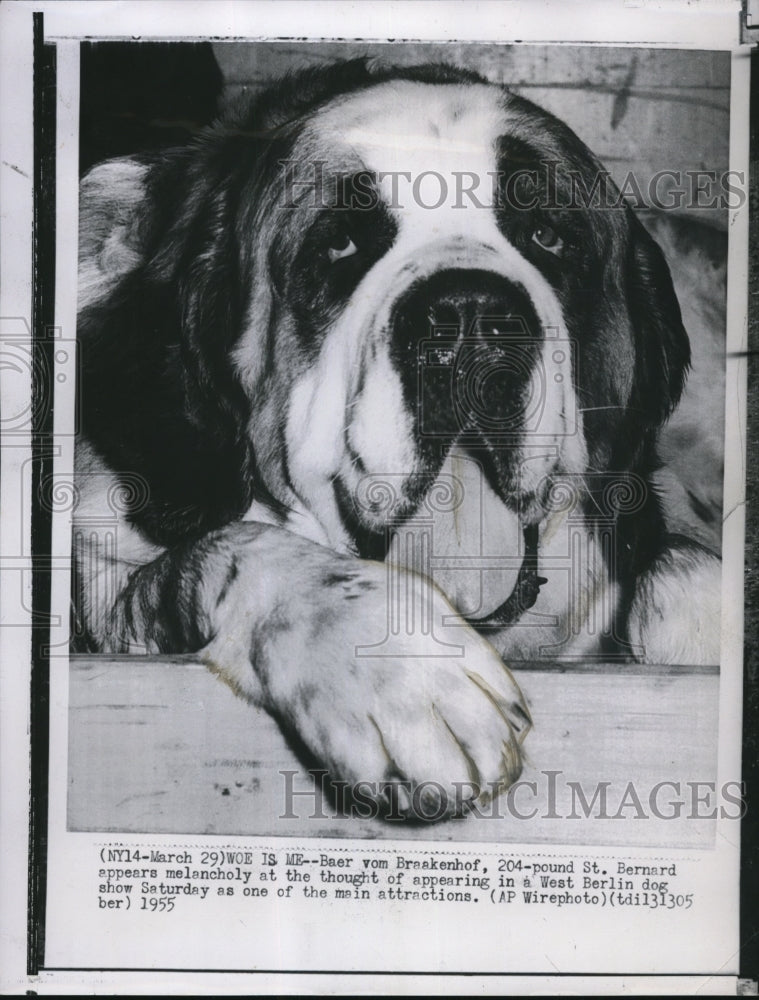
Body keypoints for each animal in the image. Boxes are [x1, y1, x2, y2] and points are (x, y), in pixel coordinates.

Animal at [72, 56, 724, 820]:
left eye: (548, 236)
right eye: (339, 243)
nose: (469, 318)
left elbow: (677, 558)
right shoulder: (107, 592)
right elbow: (229, 549)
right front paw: (397, 664)